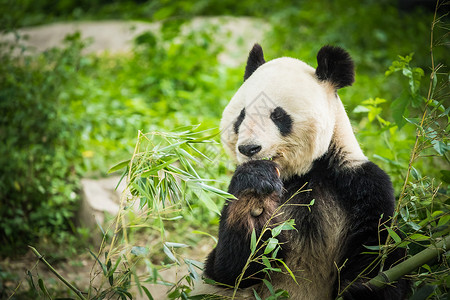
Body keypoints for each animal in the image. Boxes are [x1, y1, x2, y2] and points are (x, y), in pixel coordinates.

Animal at [192, 44, 410, 300]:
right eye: (241, 115)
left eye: (277, 115)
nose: (249, 148)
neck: (301, 174)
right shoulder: (234, 192)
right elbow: (229, 271)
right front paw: (254, 200)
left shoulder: (361, 185)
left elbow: (377, 253)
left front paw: (361, 290)